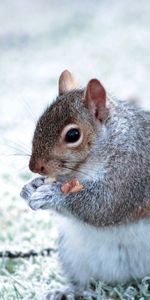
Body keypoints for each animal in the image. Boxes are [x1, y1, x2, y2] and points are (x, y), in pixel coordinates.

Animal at [20, 70, 150, 300]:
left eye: (73, 135)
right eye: (39, 123)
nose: (34, 167)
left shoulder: (132, 171)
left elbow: (105, 206)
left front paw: (53, 195)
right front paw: (30, 187)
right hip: (72, 256)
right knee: (85, 281)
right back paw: (70, 291)